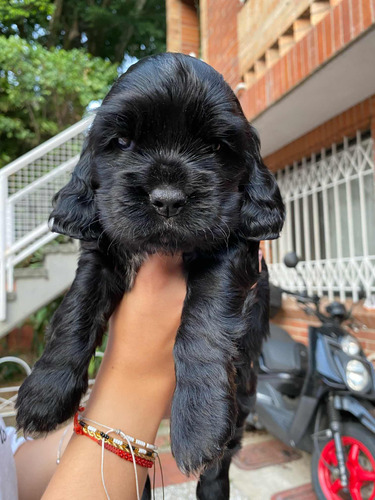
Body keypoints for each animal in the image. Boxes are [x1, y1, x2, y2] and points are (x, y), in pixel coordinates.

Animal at [16, 51, 284, 496]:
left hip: (245, 387)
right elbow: (76, 309)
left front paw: (200, 422)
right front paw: (44, 394)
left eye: (215, 147)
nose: (167, 199)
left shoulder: (232, 248)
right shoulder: (101, 250)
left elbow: (204, 320)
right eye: (123, 142)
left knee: (227, 451)